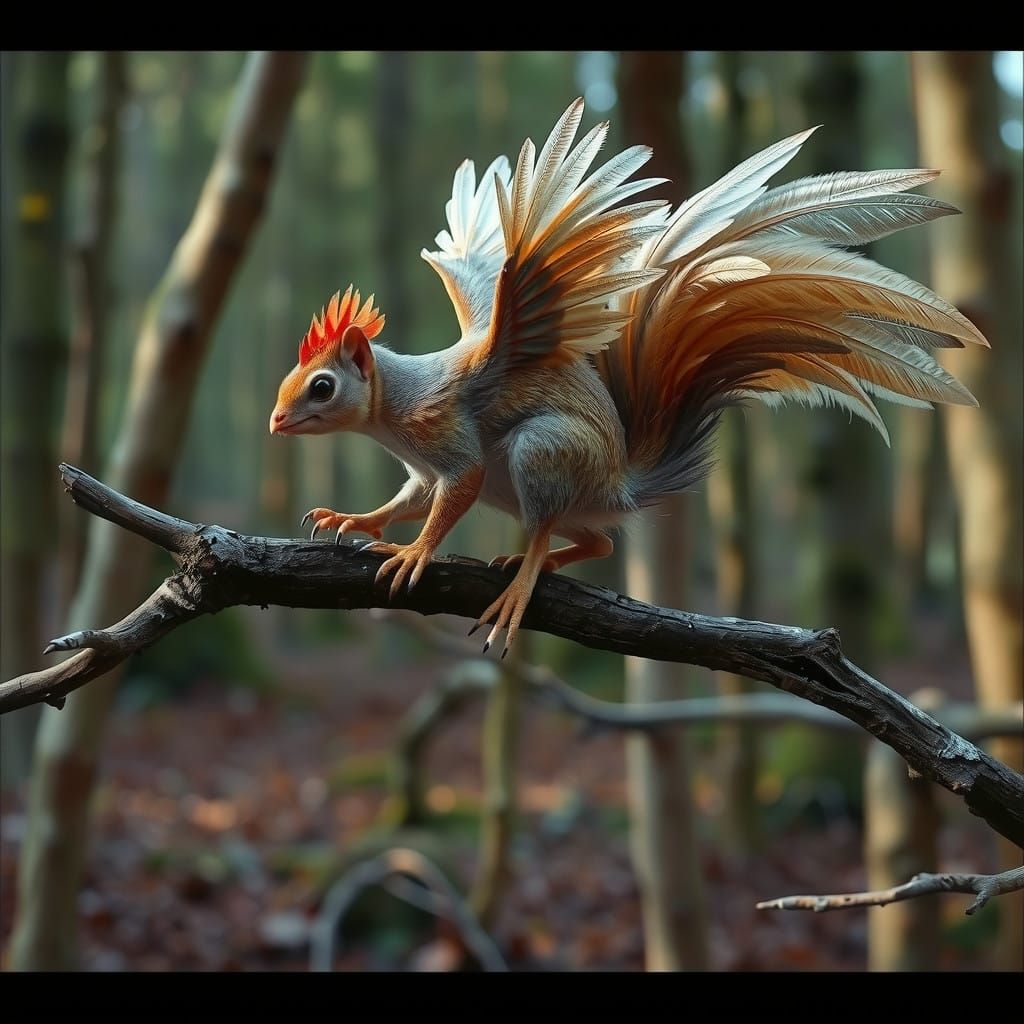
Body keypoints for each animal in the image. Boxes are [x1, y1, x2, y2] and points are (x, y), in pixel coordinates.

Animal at [269, 97, 986, 656]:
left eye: (322, 386)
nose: (275, 422)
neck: (397, 407)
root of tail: (620, 482)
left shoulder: (450, 439)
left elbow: (451, 494)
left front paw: (416, 552)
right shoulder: (421, 467)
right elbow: (405, 500)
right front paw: (353, 519)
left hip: (543, 453)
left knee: (557, 526)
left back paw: (524, 579)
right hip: (546, 488)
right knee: (599, 543)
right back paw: (536, 560)